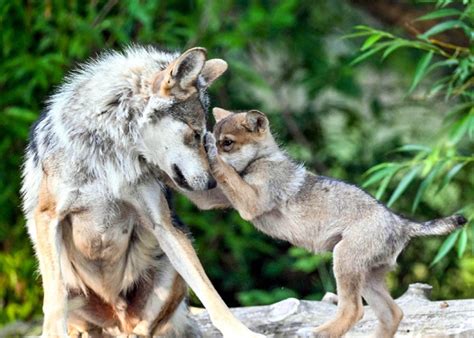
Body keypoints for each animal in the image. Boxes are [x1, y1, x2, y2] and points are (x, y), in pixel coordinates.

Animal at [21, 45, 262, 338]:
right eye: (195, 134)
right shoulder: (47, 217)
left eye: (207, 139)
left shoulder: (163, 224)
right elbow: (54, 300)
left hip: (169, 264)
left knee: (144, 328)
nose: (211, 185)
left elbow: (211, 293)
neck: (111, 153)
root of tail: (116, 320)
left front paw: (242, 332)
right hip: (73, 285)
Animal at [181, 107, 466, 338]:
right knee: (392, 313)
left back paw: (318, 332)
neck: (261, 161)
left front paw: (211, 152)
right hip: (367, 277)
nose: (201, 149)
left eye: (227, 143)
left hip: (344, 261)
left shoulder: (250, 203)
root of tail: (401, 223)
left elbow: (225, 170)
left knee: (354, 311)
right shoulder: (212, 199)